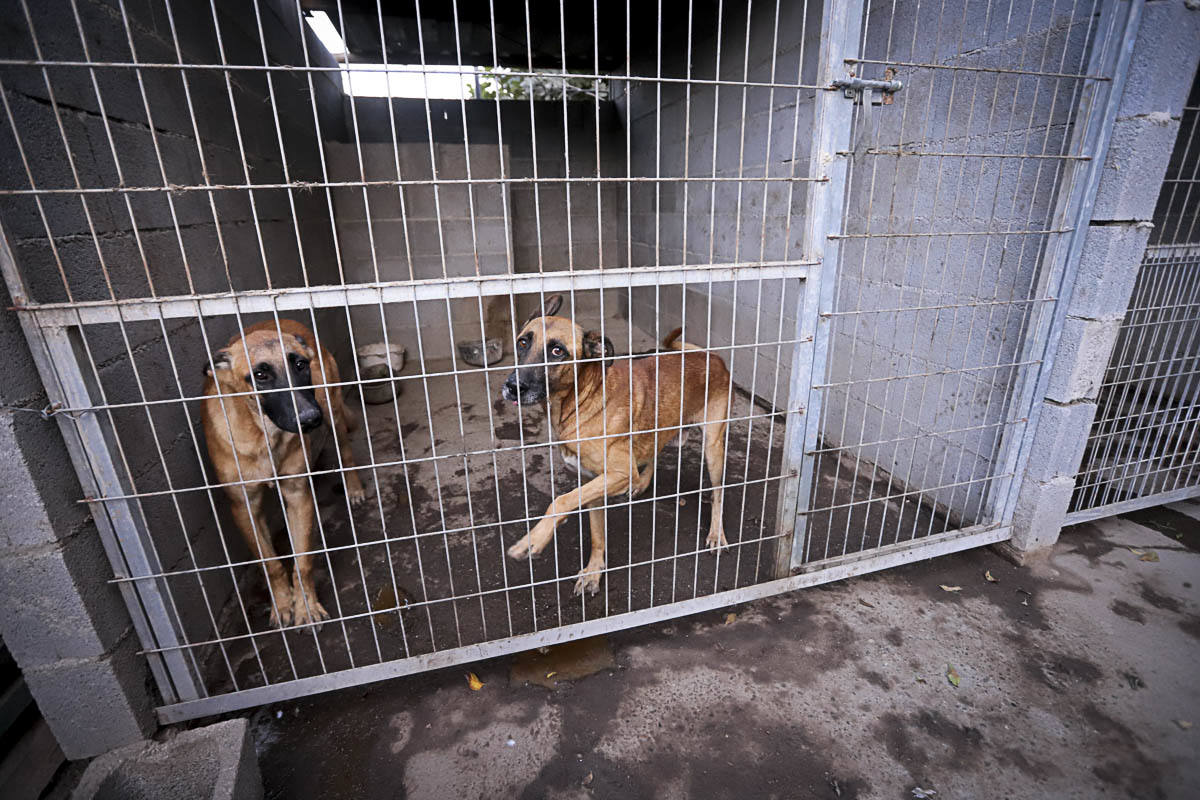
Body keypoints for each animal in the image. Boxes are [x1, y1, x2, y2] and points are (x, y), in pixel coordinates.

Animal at [201, 321, 362, 633]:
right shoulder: (244, 507)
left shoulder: (298, 496)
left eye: (300, 365)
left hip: (333, 410)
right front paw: (284, 604)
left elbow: (303, 561)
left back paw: (354, 488)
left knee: (346, 451)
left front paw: (306, 608)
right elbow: (270, 563)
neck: (265, 435)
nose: (310, 418)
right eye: (260, 375)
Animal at [499, 293, 729, 594]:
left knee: (718, 491)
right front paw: (594, 571)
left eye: (558, 351)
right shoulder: (593, 482)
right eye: (523, 342)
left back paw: (716, 533)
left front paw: (533, 540)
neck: (580, 402)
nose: (513, 386)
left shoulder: (618, 473)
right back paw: (642, 483)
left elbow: (561, 501)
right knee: (653, 451)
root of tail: (711, 355)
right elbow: (596, 533)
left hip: (713, 447)